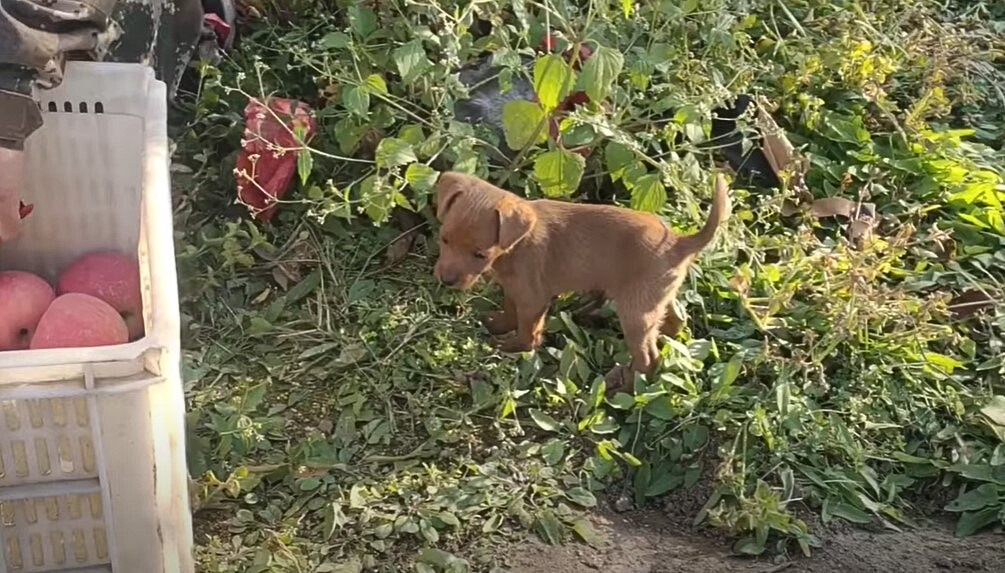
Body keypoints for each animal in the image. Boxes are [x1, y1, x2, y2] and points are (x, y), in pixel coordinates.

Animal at [432, 171, 731, 382]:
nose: (445, 281)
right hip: (655, 298)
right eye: (444, 239)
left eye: (480, 254)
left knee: (648, 358)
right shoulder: (514, 288)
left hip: (635, 312)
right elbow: (510, 309)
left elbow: (528, 330)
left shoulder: (533, 298)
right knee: (675, 321)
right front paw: (499, 324)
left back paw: (624, 384)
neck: (516, 244)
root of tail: (679, 242)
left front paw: (513, 348)